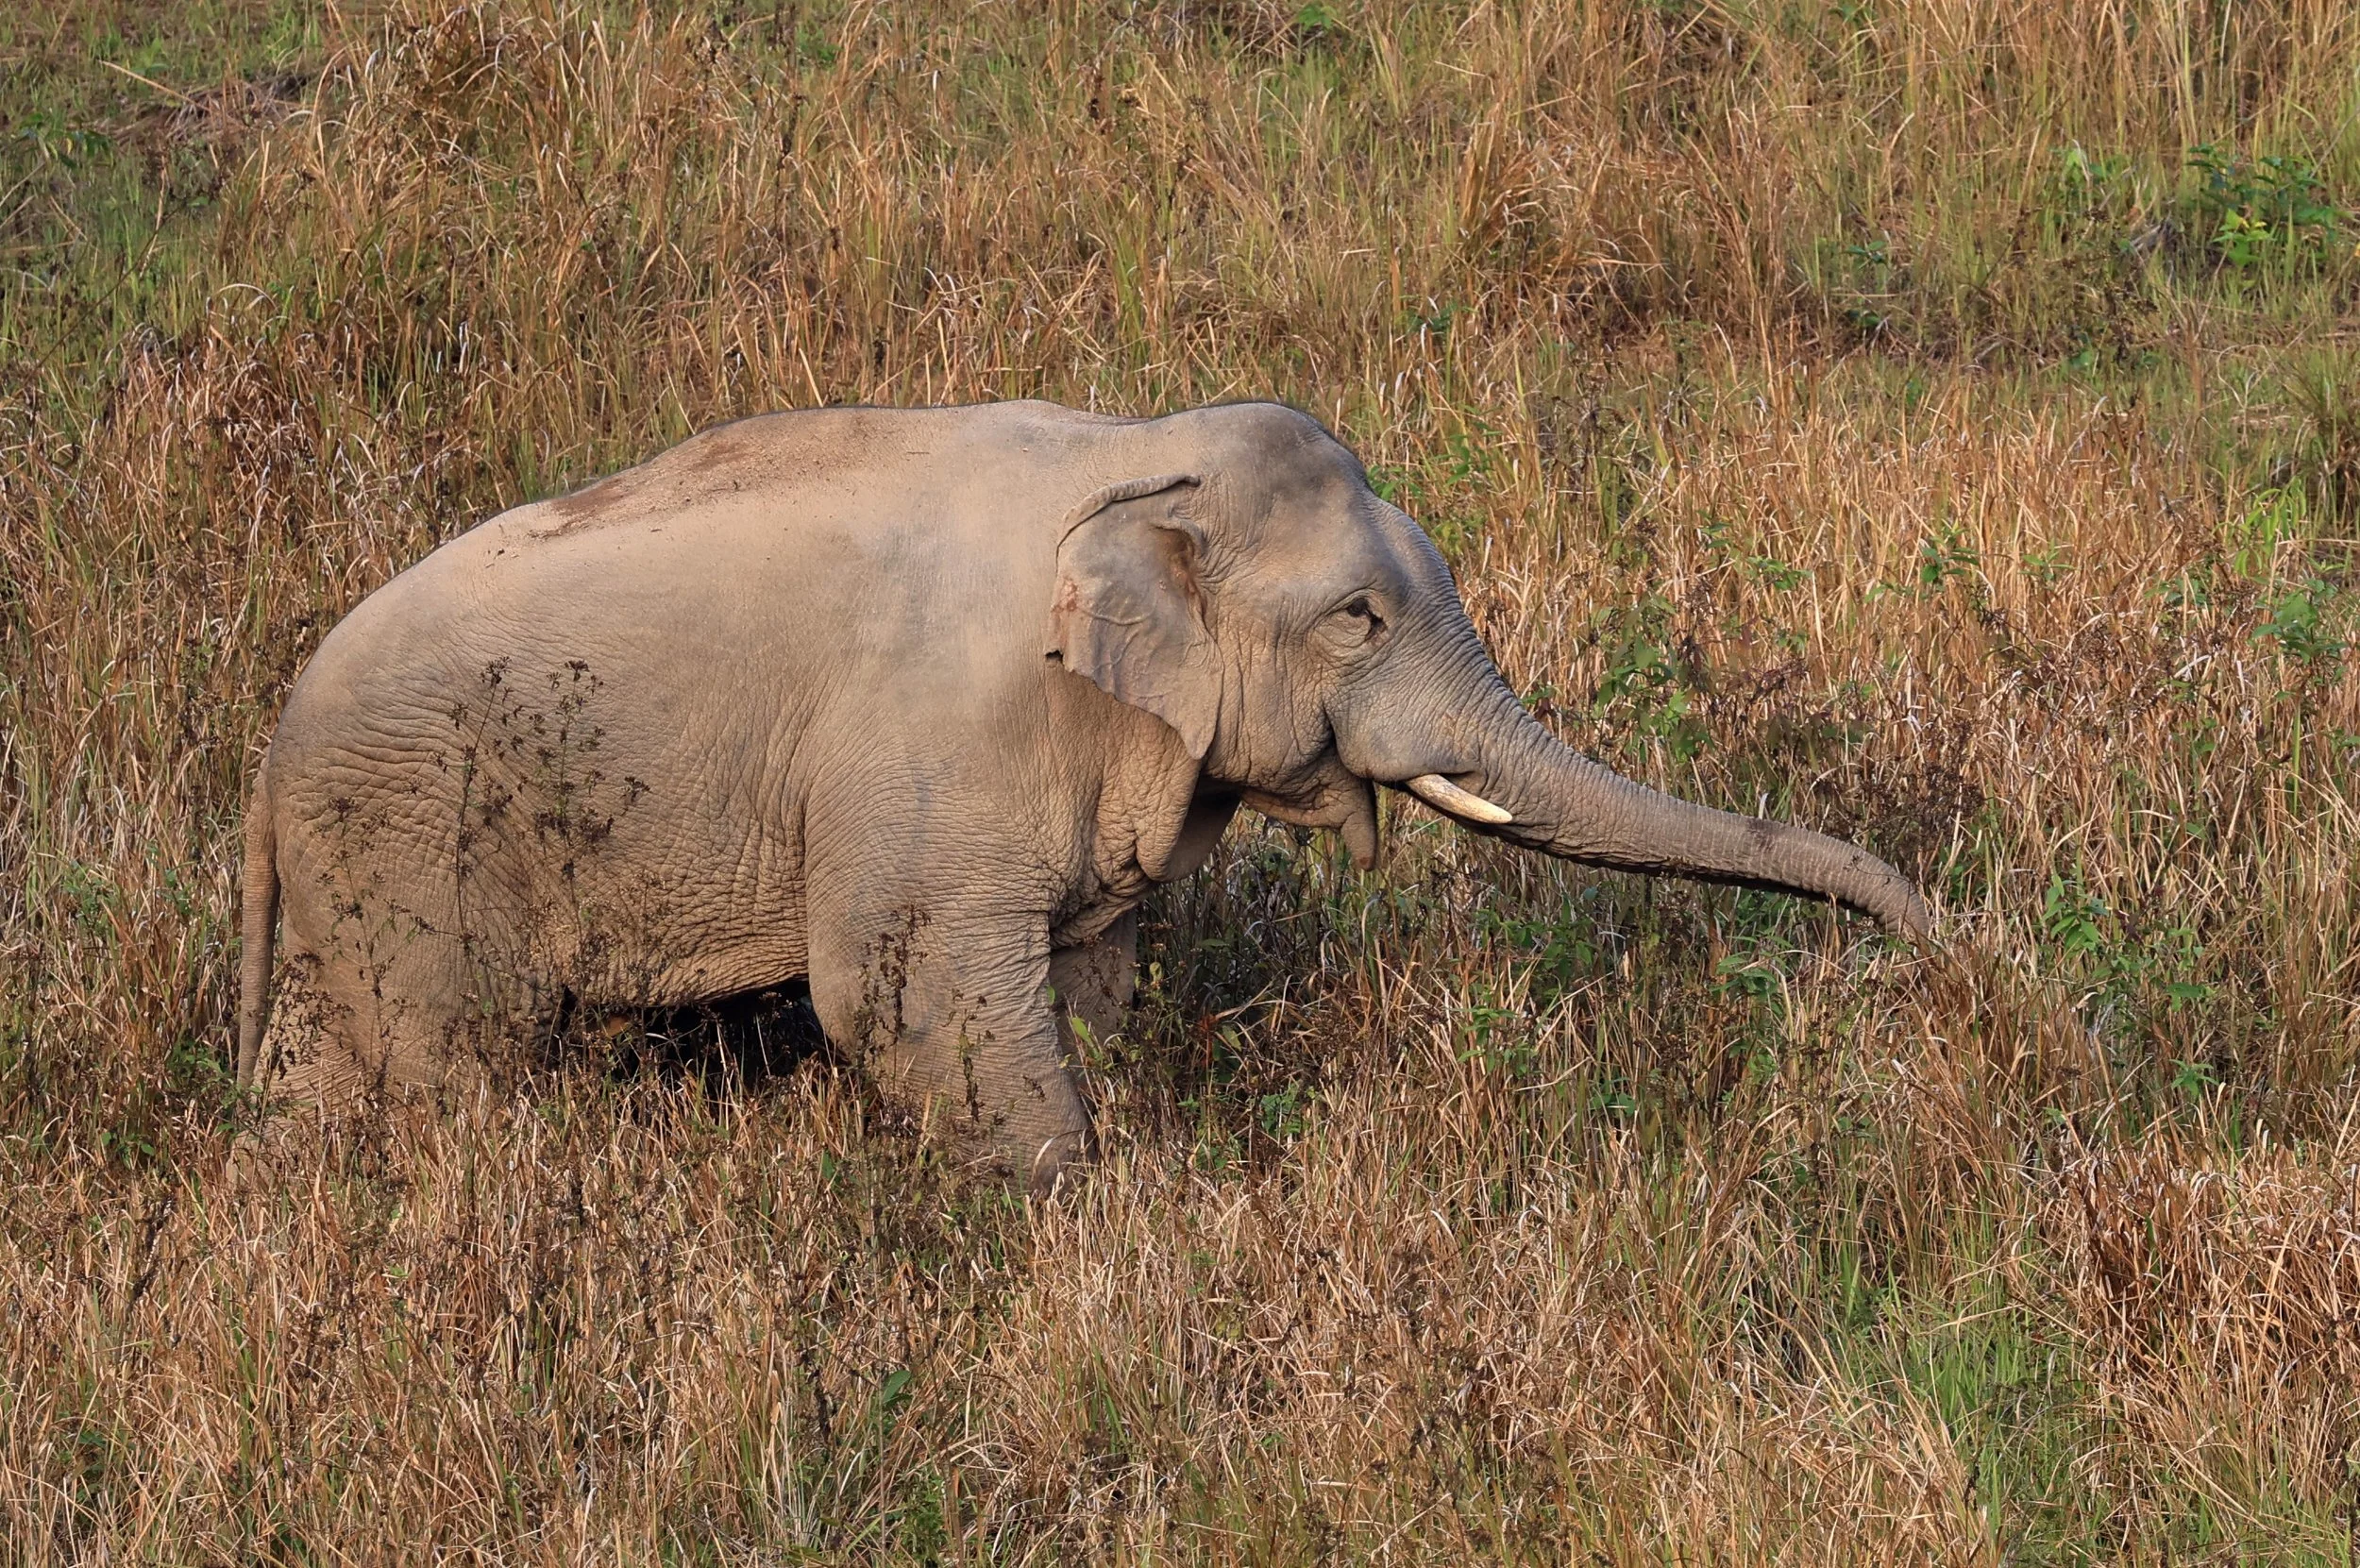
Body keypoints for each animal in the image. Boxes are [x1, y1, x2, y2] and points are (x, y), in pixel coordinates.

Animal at [237, 399, 1929, 1190]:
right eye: (1360, 619)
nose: (1936, 946)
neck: (1134, 451)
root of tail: (267, 754)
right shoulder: (934, 751)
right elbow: (900, 998)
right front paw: (1076, 1208)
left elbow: (1090, 973)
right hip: (411, 844)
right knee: (444, 1066)